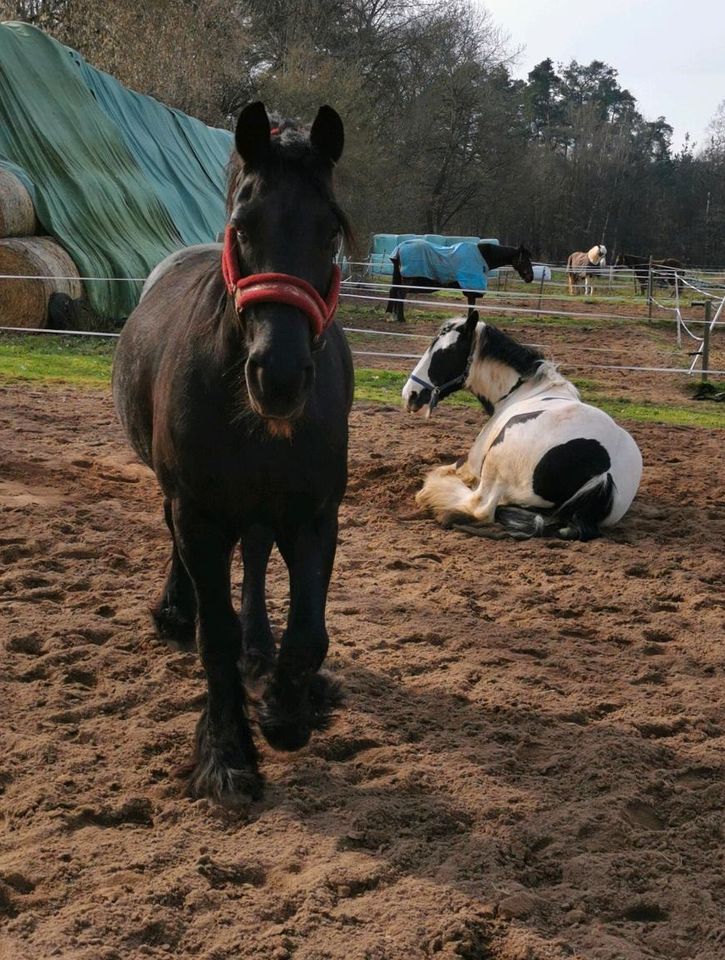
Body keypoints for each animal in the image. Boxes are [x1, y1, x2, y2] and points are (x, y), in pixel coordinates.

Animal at [111, 103, 354, 804]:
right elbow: (214, 636)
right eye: (243, 225)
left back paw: (259, 650)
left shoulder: (312, 515)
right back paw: (176, 610)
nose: (279, 377)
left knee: (255, 559)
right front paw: (226, 752)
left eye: (331, 230)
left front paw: (287, 710)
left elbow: (307, 633)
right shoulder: (198, 511)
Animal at [384, 237, 532, 320]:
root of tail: (400, 248)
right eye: (524, 259)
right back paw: (400, 318)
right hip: (408, 280)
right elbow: (471, 306)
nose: (530, 277)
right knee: (401, 294)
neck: (483, 257)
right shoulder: (471, 288)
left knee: (395, 292)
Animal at [402, 316, 644, 540]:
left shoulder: (471, 464)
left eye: (447, 350)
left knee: (480, 507)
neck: (523, 391)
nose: (410, 394)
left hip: (495, 465)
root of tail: (603, 472)